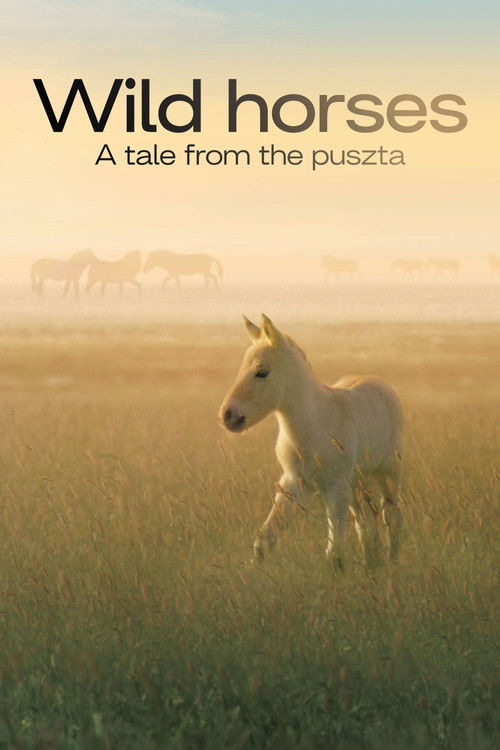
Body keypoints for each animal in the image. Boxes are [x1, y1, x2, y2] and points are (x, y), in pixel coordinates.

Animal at [219, 315, 403, 570]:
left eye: (262, 372)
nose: (228, 416)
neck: (311, 427)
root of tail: (380, 382)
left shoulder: (335, 487)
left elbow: (334, 552)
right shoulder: (293, 483)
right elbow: (265, 538)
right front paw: (253, 572)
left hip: (387, 473)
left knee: (391, 515)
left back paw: (391, 562)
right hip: (357, 481)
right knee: (365, 519)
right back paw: (370, 562)